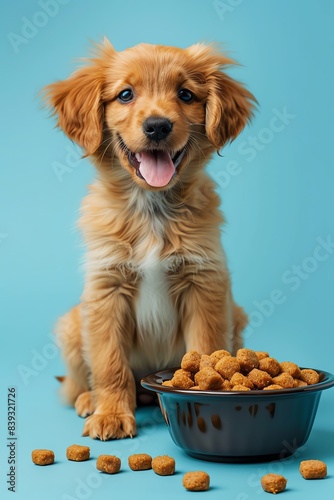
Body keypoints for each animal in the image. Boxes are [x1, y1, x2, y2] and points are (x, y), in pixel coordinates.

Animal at [42, 39, 256, 440]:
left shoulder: (204, 285)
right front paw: (110, 413)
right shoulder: (106, 290)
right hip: (72, 326)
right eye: (125, 94)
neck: (151, 208)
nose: (157, 126)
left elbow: (205, 350)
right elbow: (110, 364)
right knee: (76, 382)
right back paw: (89, 399)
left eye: (186, 94)